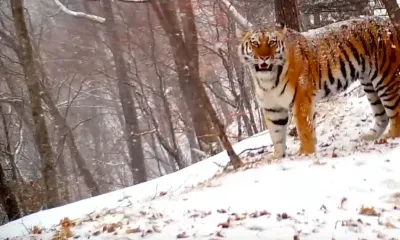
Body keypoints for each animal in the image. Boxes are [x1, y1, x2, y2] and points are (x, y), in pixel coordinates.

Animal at [238, 15, 400, 160]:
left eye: (272, 42)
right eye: (255, 43)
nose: (264, 58)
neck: (267, 79)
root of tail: (389, 22)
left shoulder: (301, 99)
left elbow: (304, 129)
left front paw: (306, 154)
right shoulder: (273, 108)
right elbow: (276, 134)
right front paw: (277, 157)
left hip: (386, 78)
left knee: (395, 111)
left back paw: (389, 137)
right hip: (369, 84)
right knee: (382, 115)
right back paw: (371, 136)